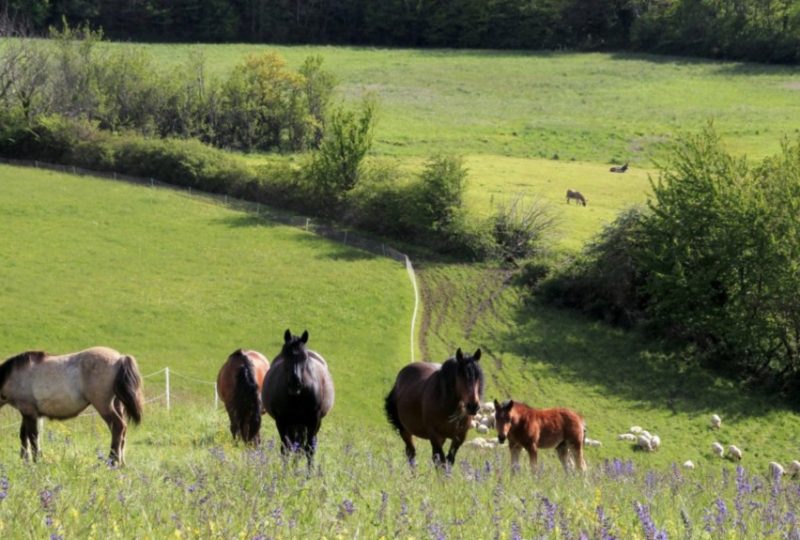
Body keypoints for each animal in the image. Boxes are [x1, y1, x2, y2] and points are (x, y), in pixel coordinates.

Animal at [0, 348, 144, 466]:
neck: (14, 375)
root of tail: (120, 358)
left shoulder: (28, 412)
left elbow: (33, 437)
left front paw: (35, 461)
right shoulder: (30, 414)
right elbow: (24, 436)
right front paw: (25, 460)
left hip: (104, 406)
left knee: (117, 427)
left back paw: (112, 461)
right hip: (117, 405)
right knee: (122, 431)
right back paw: (121, 463)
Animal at [262, 326, 334, 466]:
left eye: (304, 357)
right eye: (285, 355)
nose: (295, 384)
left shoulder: (314, 420)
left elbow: (309, 449)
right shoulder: (282, 421)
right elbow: (285, 449)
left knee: (302, 447)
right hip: (295, 424)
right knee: (295, 446)